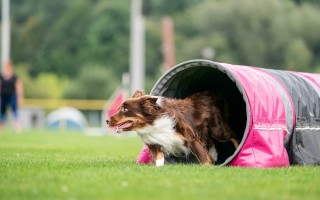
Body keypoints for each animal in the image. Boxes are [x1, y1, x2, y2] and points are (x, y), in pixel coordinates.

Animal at [106, 90, 239, 166]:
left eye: (125, 109)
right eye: (119, 108)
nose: (107, 120)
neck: (152, 123)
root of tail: (211, 94)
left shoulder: (191, 138)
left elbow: (202, 157)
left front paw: (208, 167)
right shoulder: (155, 143)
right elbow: (159, 159)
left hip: (218, 131)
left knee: (233, 136)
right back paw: (214, 154)